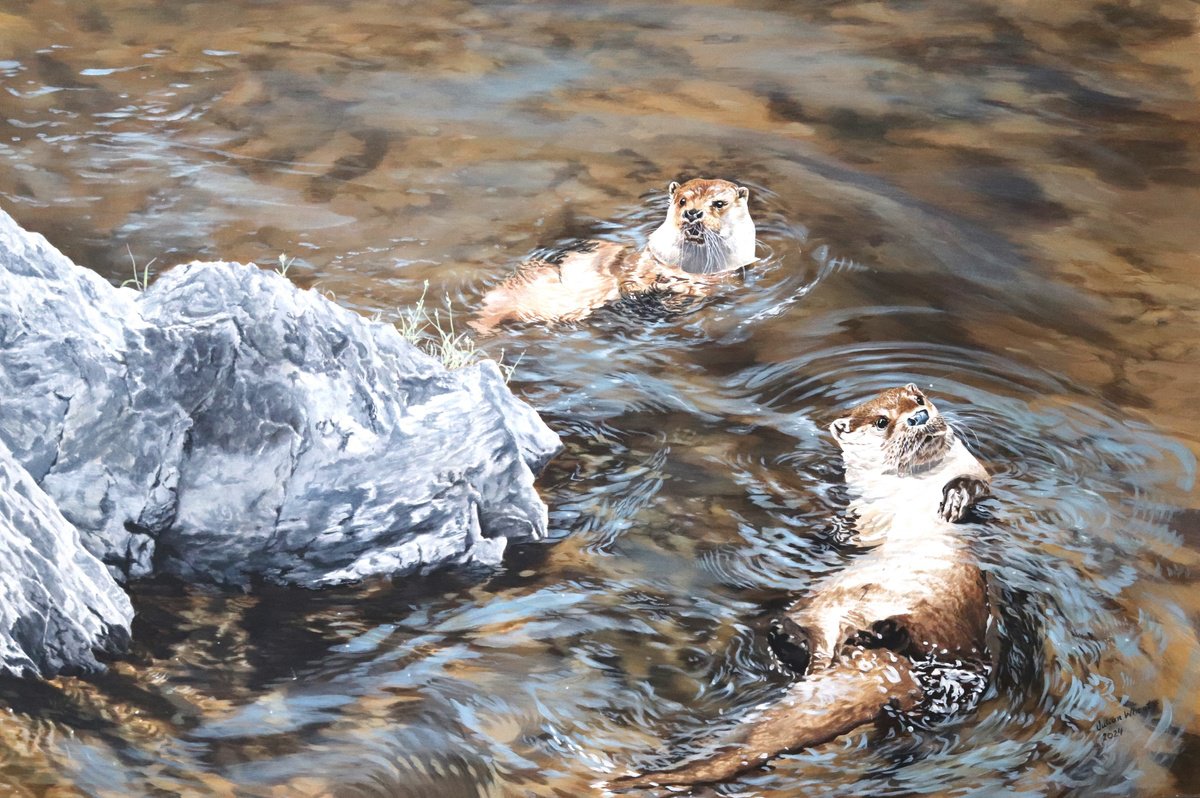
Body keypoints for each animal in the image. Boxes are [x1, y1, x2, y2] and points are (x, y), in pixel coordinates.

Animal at [611, 384, 992, 791]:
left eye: (918, 400)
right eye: (882, 421)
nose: (919, 416)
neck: (908, 495)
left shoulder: (975, 477)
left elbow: (978, 488)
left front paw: (956, 497)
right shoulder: (863, 519)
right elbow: (847, 539)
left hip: (953, 633)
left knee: (933, 664)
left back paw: (880, 633)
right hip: (818, 608)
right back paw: (800, 635)